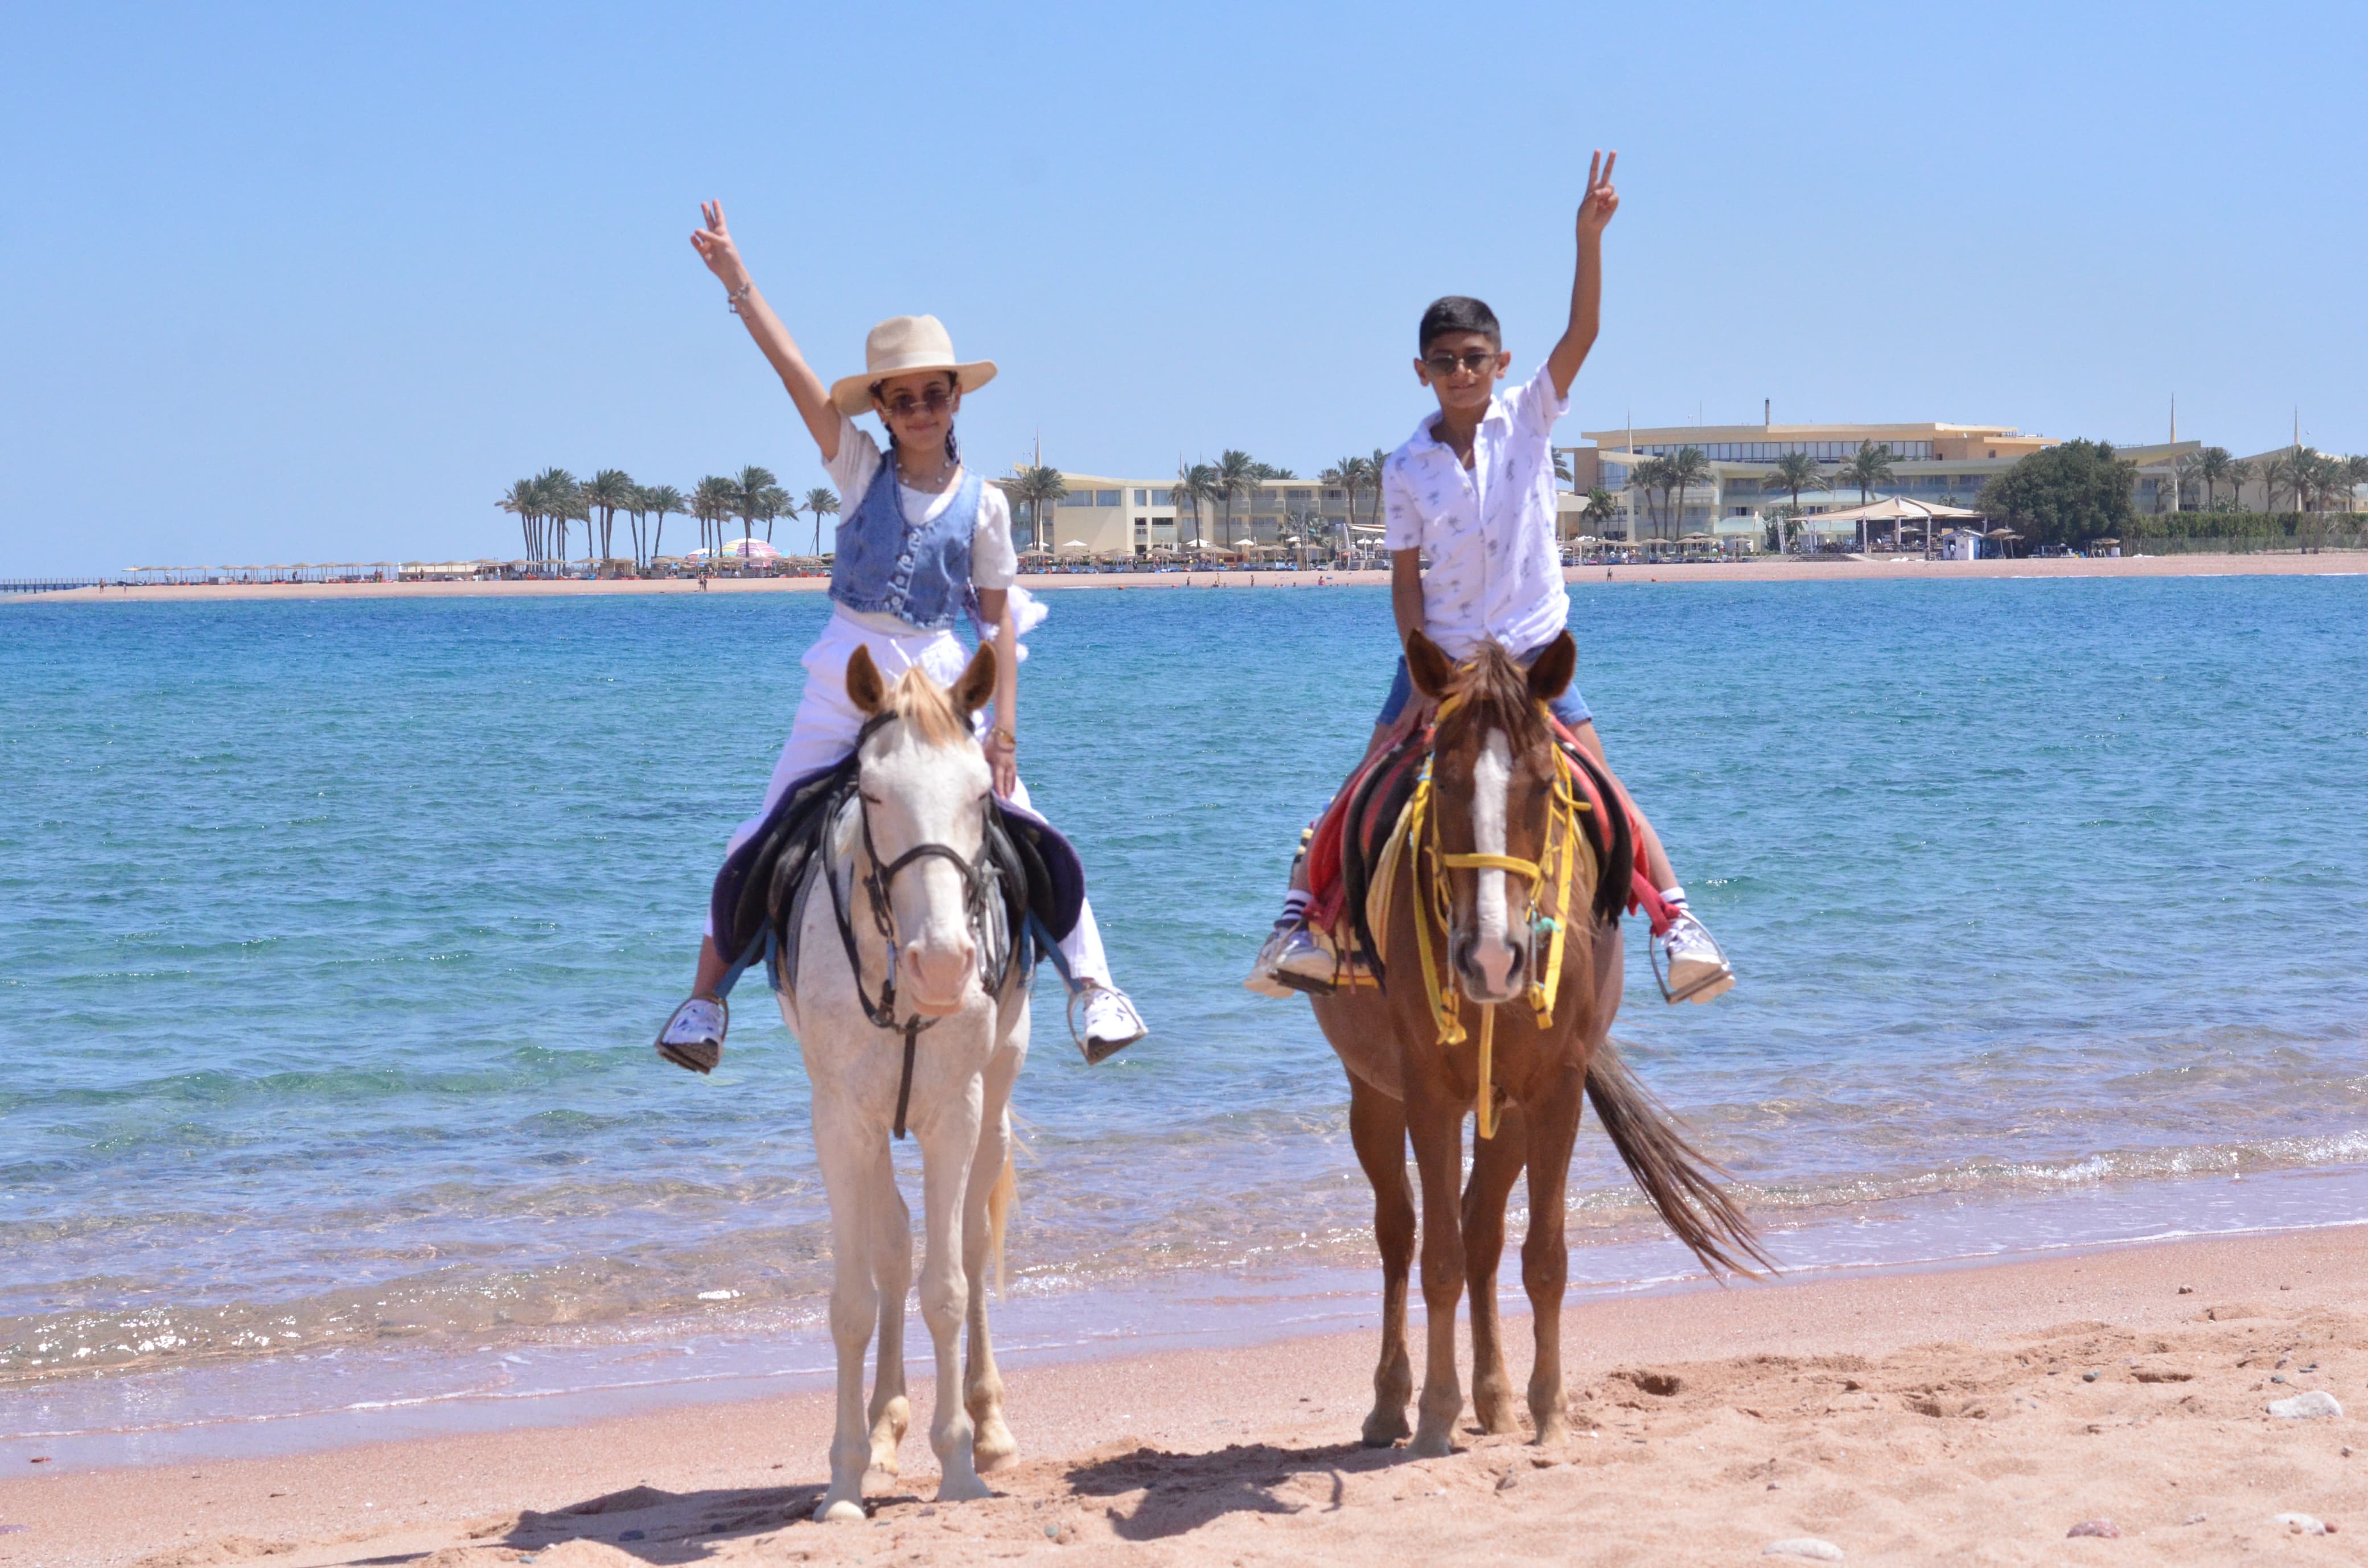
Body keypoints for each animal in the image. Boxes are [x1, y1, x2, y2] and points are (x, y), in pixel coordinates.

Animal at [779, 640, 1028, 1522]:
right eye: (876, 792)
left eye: (982, 793)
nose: (945, 964)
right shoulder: (841, 1120)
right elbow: (855, 1297)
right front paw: (844, 1479)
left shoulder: (956, 1113)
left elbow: (948, 1285)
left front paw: (958, 1463)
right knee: (891, 1243)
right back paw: (886, 1426)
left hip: (996, 1104)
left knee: (975, 1242)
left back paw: (990, 1427)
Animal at [1311, 628, 1769, 1457]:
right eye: (1444, 781)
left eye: (1542, 785)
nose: (1493, 957)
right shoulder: (1427, 1091)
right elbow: (1436, 1259)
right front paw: (1435, 1414)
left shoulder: (1552, 1090)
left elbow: (1542, 1257)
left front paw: (1549, 1411)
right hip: (1374, 1096)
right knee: (1401, 1232)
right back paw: (1393, 1403)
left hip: (1509, 1113)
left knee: (1481, 1227)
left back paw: (1494, 1399)